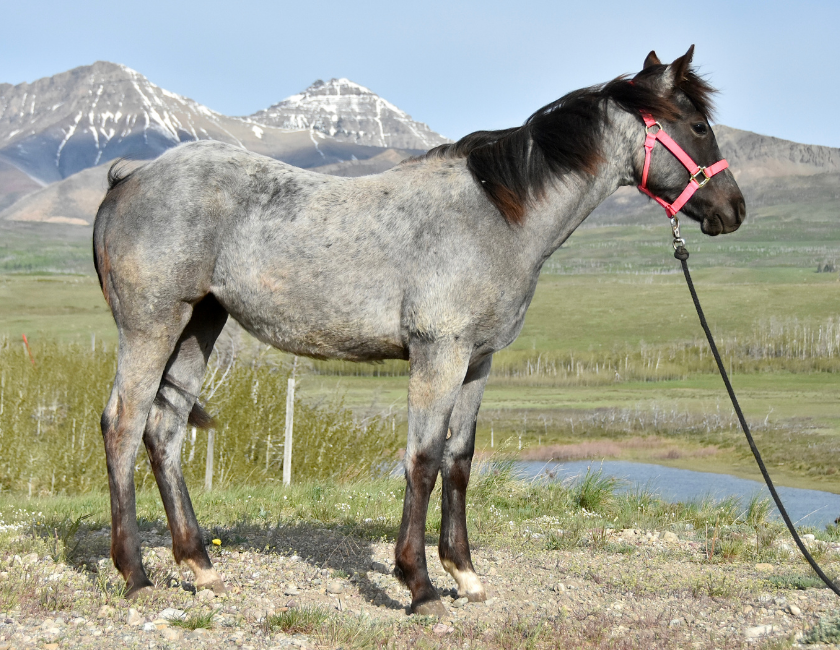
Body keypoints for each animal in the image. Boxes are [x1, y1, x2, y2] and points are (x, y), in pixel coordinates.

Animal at [92, 45, 745, 615]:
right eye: (697, 125)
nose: (734, 210)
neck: (496, 215)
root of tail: (129, 176)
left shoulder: (477, 361)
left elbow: (458, 460)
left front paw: (465, 573)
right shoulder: (439, 355)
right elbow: (424, 460)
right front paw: (420, 585)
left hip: (198, 324)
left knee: (163, 431)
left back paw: (199, 565)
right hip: (152, 325)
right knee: (123, 426)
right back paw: (136, 575)